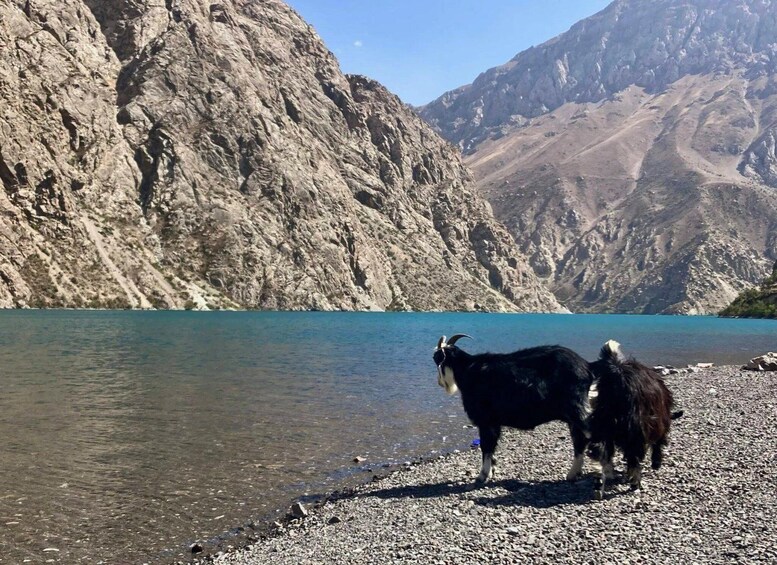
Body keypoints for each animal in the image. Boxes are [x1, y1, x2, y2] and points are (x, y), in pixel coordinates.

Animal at [433, 334, 594, 484]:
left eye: (436, 358)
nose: (439, 383)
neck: (467, 369)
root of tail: (587, 367)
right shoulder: (494, 423)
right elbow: (491, 448)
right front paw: (491, 472)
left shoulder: (485, 421)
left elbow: (486, 447)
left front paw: (482, 476)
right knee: (579, 440)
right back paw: (573, 474)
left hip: (576, 409)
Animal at [588, 340, 681, 499]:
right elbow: (657, 444)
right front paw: (656, 463)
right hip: (635, 428)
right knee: (633, 457)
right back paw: (634, 483)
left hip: (603, 423)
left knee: (601, 451)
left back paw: (599, 485)